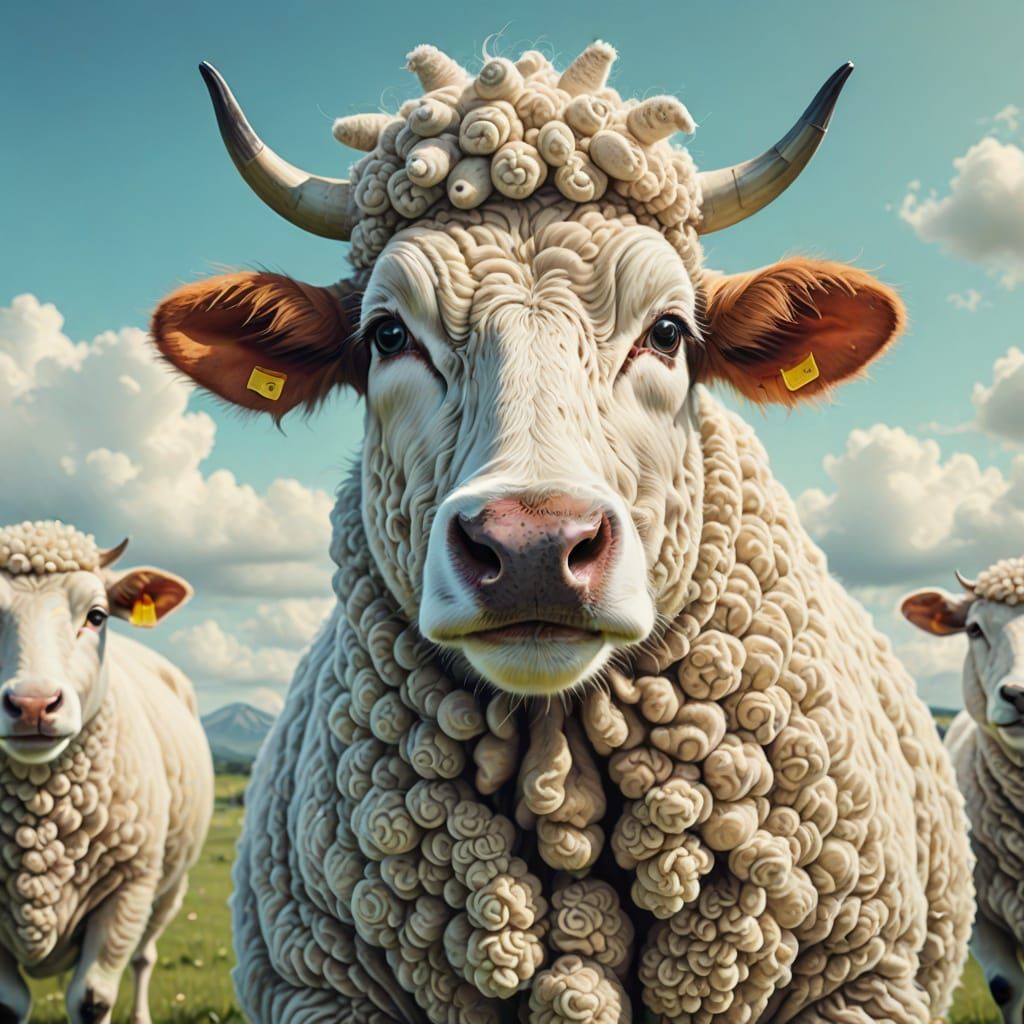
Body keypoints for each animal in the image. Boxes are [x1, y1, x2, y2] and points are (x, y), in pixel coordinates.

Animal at [0, 520, 213, 1024]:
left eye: (97, 616)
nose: (32, 704)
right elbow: (8, 1004)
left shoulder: (128, 890)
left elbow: (92, 999)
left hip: (168, 888)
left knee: (144, 957)